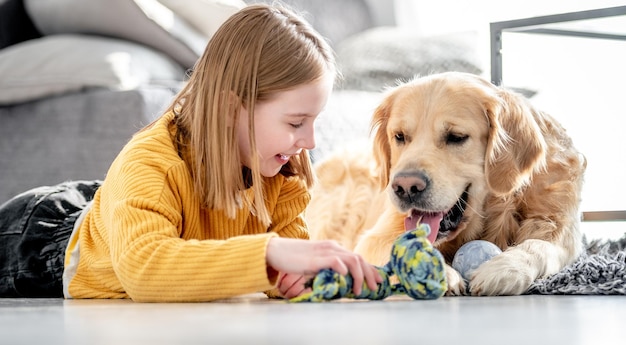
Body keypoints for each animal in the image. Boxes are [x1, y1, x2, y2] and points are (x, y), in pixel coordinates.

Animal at [308, 71, 584, 294]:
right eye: (400, 136)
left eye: (456, 137)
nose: (406, 187)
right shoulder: (374, 238)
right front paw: (434, 270)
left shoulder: (559, 224)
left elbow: (539, 245)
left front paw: (506, 268)